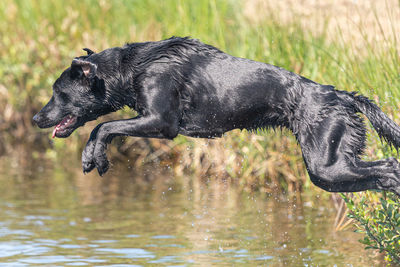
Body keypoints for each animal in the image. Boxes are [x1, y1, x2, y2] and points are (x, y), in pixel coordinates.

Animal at [32, 37, 400, 195]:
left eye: (58, 91)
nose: (36, 118)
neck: (131, 67)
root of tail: (339, 94)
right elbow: (105, 124)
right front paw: (94, 156)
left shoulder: (162, 123)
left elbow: (104, 126)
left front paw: (93, 157)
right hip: (331, 171)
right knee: (385, 169)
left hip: (326, 165)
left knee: (388, 167)